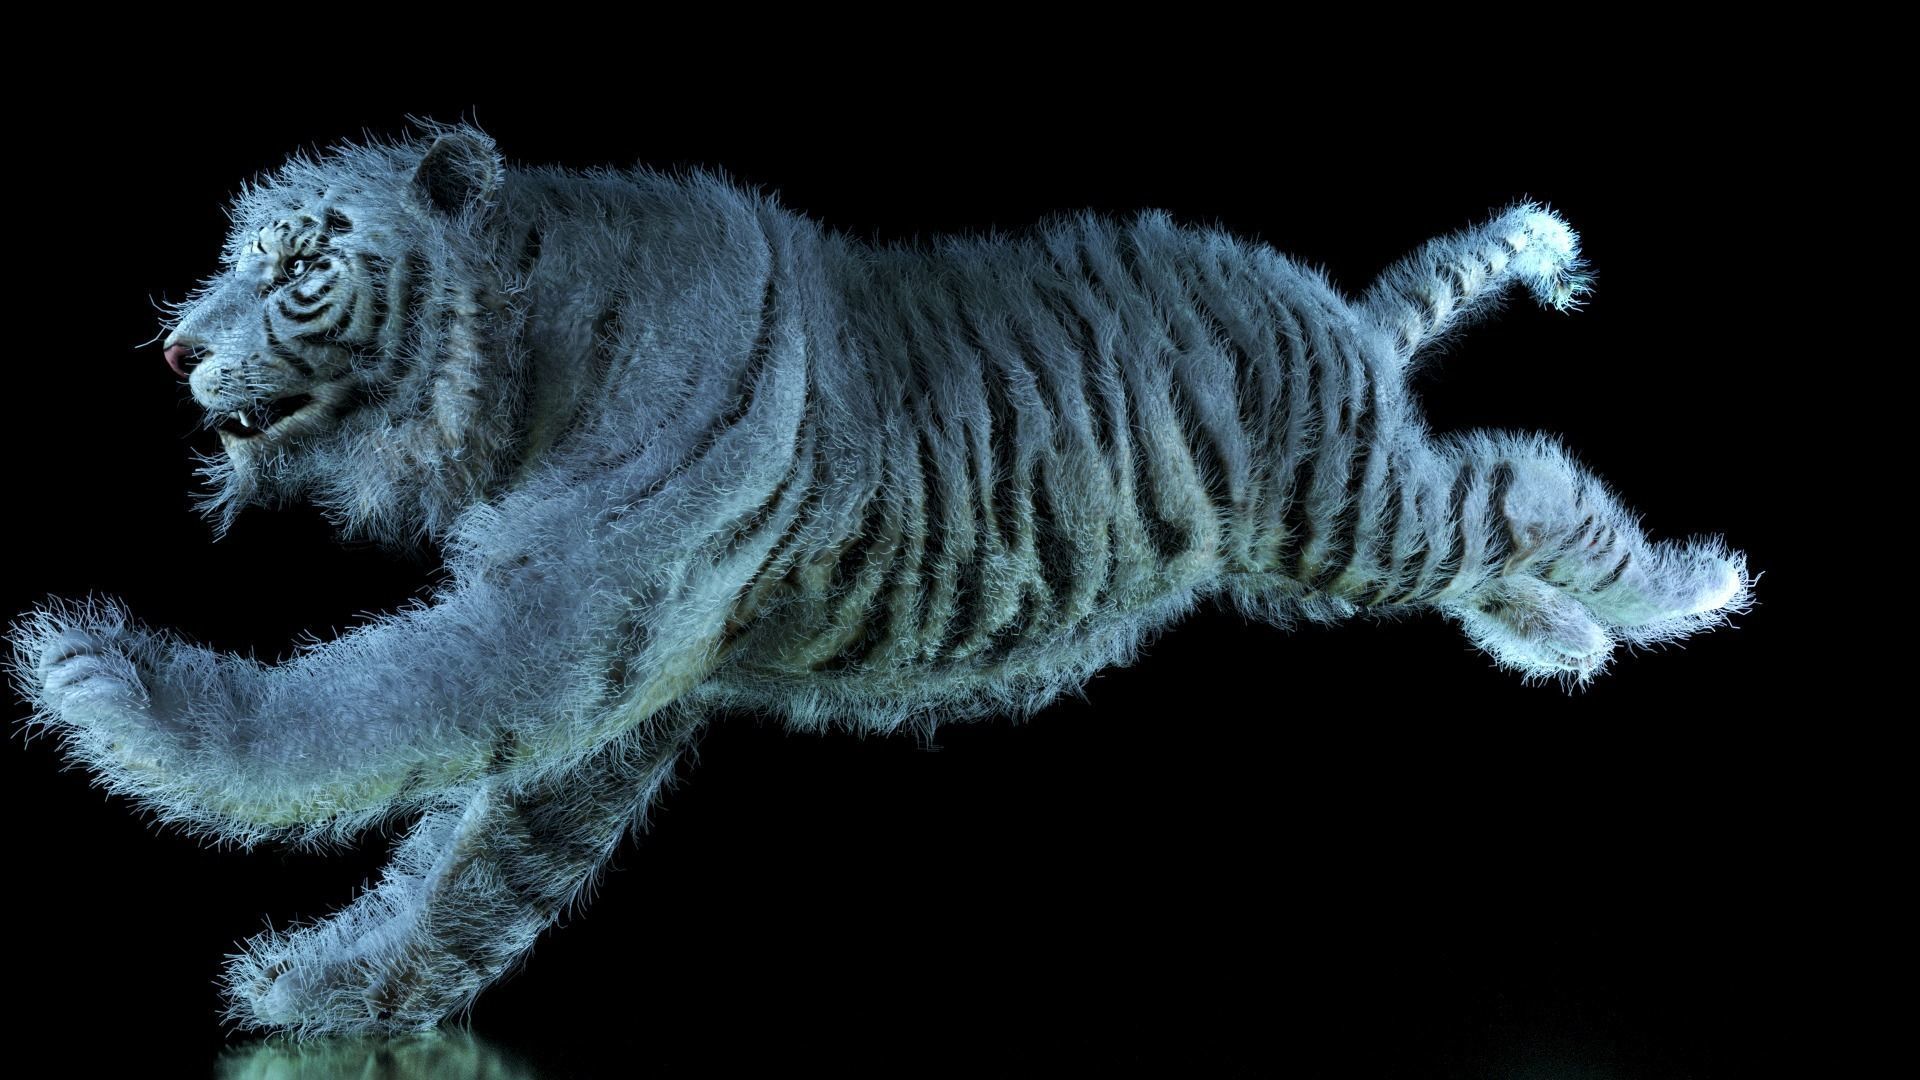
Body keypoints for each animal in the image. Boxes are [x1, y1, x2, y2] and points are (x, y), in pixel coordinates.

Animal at [9, 120, 1753, 1037]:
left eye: (303, 268)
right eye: (230, 257)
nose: (173, 347)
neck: (520, 366)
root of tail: (1325, 302)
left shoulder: (558, 625)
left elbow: (350, 715)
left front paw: (98, 678)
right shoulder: (617, 685)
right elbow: (469, 861)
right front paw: (335, 985)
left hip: (1350, 509)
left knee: (1520, 483)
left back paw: (1690, 586)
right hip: (1316, 557)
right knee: (1494, 518)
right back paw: (1562, 639)